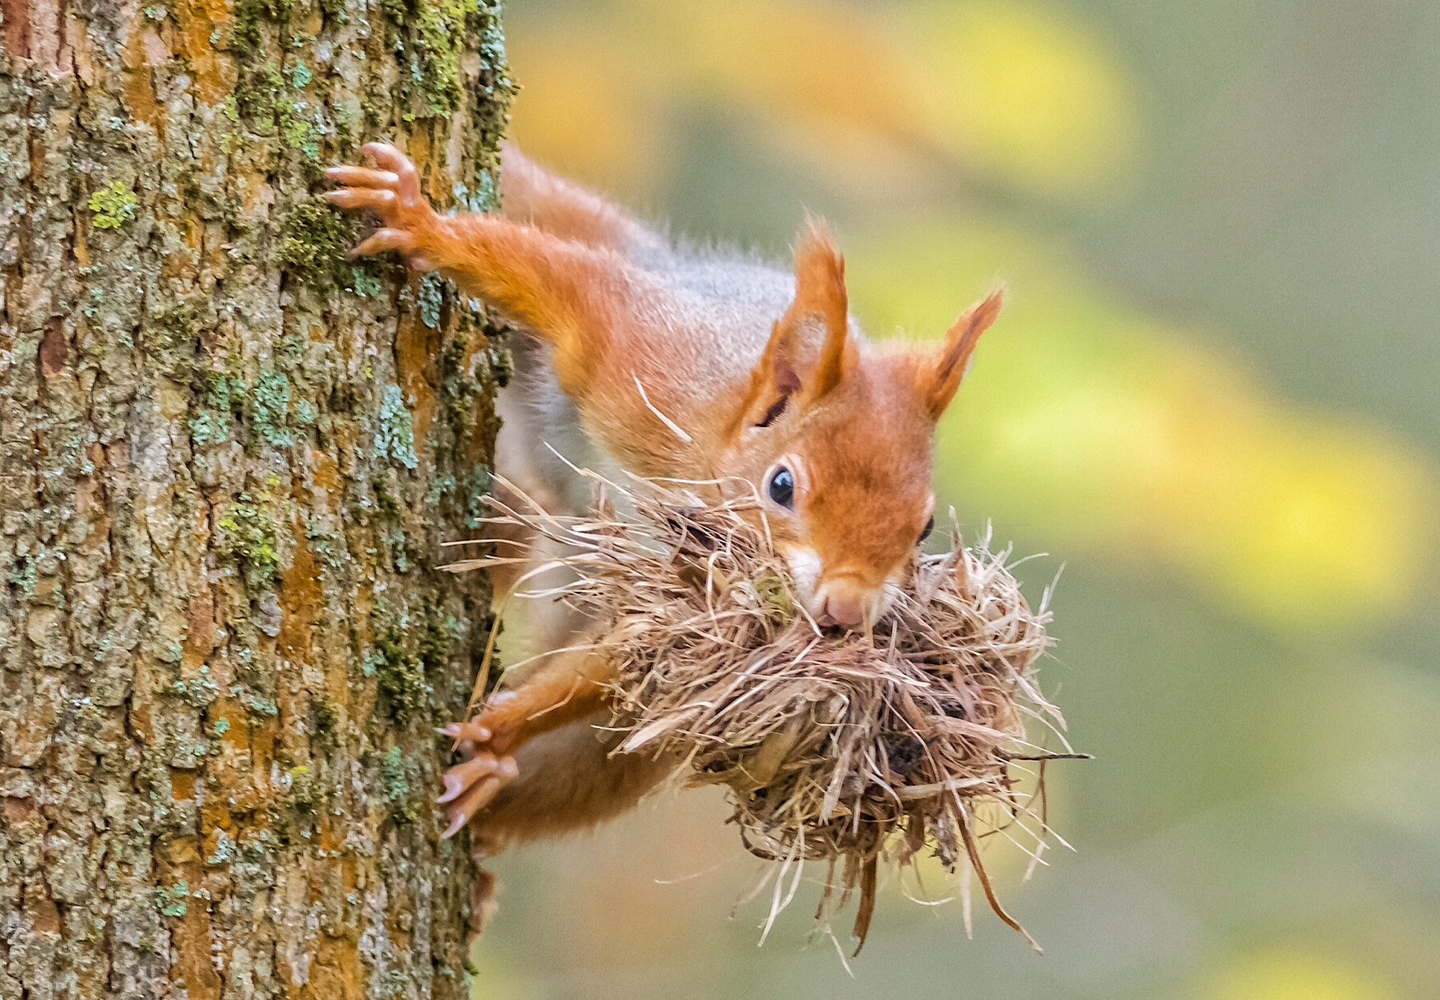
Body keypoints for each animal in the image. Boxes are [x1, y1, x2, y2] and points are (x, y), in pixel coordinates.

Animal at [326, 142, 1002, 893]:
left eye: (925, 527)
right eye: (782, 485)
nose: (847, 609)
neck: (703, 452)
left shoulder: (671, 603)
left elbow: (616, 663)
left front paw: (500, 735)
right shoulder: (647, 362)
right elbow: (569, 287)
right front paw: (419, 222)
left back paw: (494, 783)